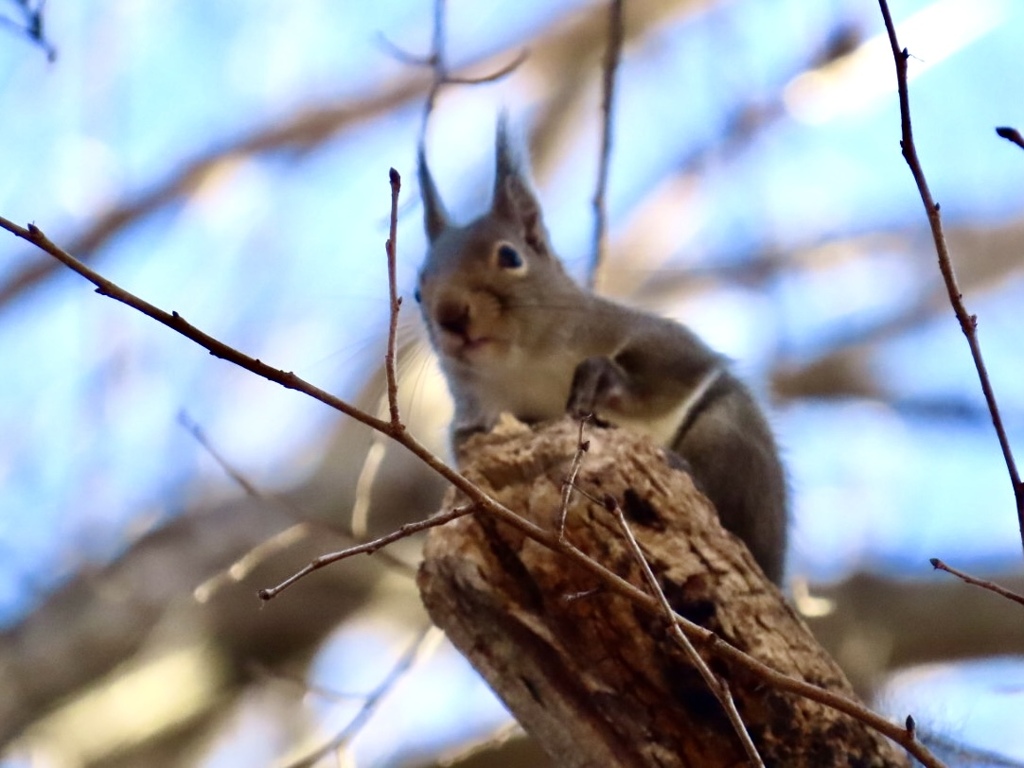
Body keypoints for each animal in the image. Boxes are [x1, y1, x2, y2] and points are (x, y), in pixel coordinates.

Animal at [411, 120, 786, 581]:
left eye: (510, 256)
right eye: (417, 291)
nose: (450, 314)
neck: (524, 368)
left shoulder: (644, 334)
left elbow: (667, 369)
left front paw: (603, 379)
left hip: (730, 436)